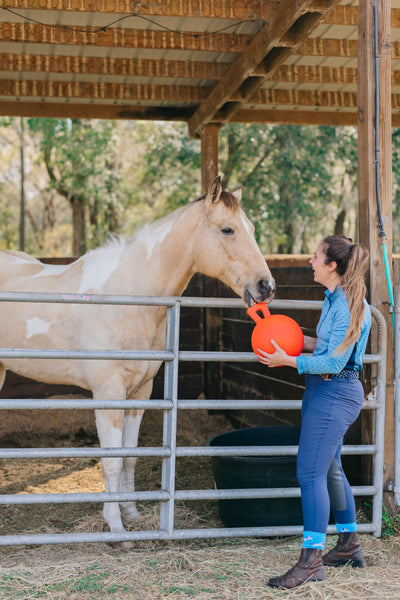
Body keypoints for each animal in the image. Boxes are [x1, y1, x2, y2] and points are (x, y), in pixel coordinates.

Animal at [0, 176, 276, 548]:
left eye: (253, 228)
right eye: (228, 229)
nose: (266, 286)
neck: (128, 296)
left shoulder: (139, 392)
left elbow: (130, 456)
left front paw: (132, 515)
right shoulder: (108, 393)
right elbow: (112, 461)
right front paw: (116, 530)